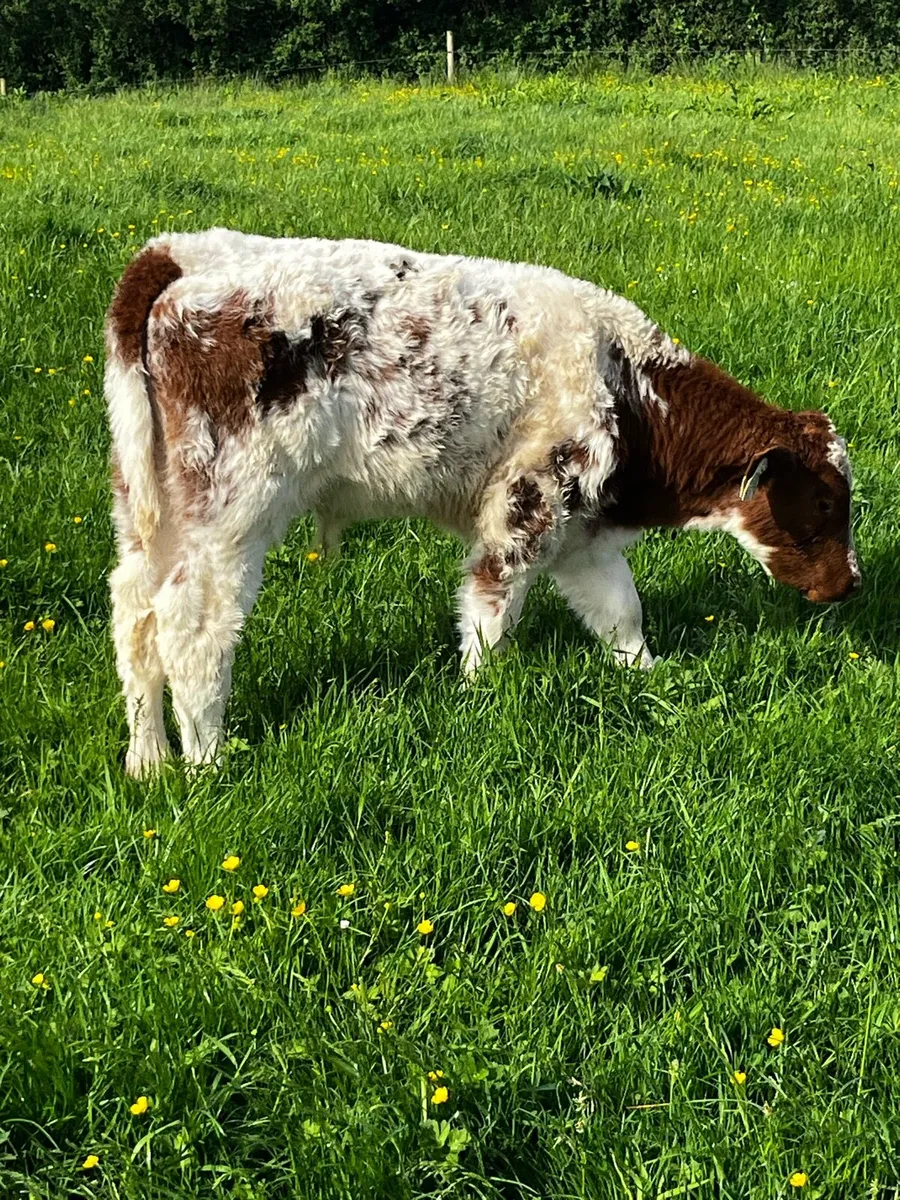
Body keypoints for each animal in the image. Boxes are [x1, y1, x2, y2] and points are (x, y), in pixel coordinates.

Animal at [105, 229, 858, 774]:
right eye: (824, 504)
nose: (850, 584)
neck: (623, 381)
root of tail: (178, 254)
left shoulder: (580, 529)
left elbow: (620, 611)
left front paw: (648, 676)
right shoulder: (526, 503)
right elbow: (491, 609)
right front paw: (478, 700)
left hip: (149, 508)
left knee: (133, 615)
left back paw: (149, 760)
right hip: (230, 508)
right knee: (190, 624)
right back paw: (207, 761)